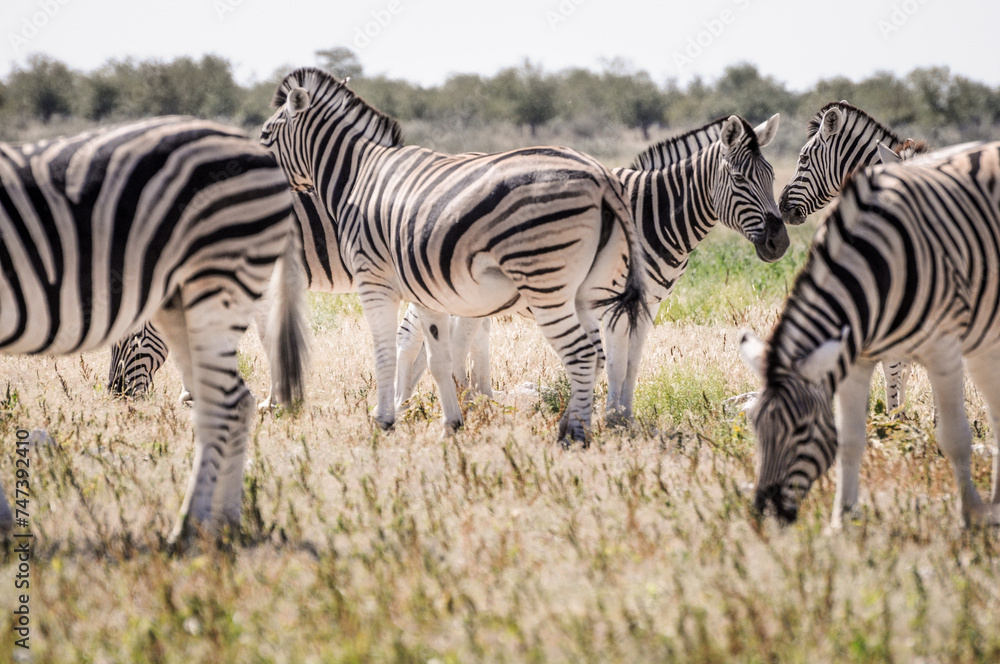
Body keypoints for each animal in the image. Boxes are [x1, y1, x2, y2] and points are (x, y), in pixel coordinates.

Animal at [260, 67, 648, 442]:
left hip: (545, 283)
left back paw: (575, 435)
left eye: (264, 136)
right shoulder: (424, 292)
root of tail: (600, 176)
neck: (359, 177)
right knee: (596, 355)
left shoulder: (374, 281)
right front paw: (451, 424)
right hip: (588, 291)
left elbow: (384, 354)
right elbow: (438, 359)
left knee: (580, 354)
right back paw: (572, 422)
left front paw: (384, 420)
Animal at [393, 114, 788, 424]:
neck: (651, 216)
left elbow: (633, 361)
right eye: (739, 179)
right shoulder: (612, 301)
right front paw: (611, 417)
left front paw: (625, 415)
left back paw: (448, 403)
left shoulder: (648, 304)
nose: (779, 242)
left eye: (771, 177)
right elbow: (615, 361)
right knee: (414, 336)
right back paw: (414, 405)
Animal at [740, 141, 1000, 528]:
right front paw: (842, 520)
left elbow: (953, 434)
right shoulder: (856, 353)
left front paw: (968, 515)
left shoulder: (940, 347)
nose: (767, 512)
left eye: (803, 430)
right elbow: (851, 437)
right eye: (754, 426)